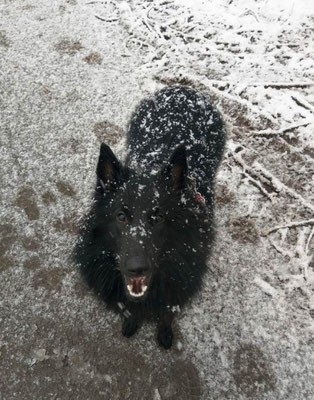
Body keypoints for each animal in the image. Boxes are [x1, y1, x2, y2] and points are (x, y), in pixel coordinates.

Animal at [75, 86, 227, 348]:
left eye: (158, 218)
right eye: (121, 216)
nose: (137, 268)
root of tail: (182, 89)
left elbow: (167, 315)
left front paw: (165, 335)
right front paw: (131, 324)